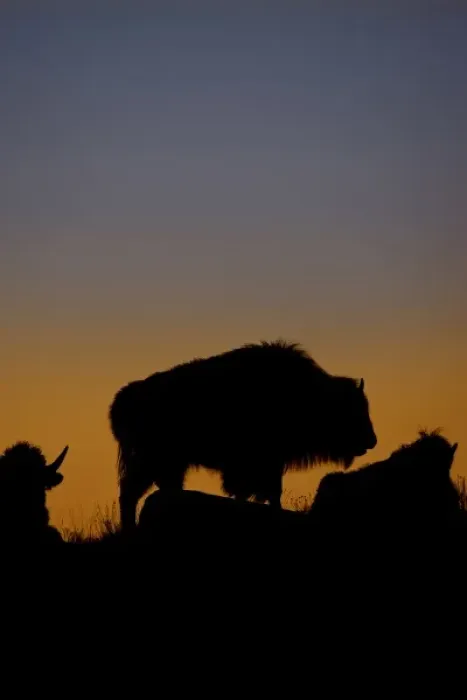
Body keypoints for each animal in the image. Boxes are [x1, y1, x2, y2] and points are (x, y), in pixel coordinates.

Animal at [110, 340, 377, 529]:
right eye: (354, 409)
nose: (372, 440)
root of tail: (128, 396)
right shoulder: (258, 463)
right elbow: (260, 491)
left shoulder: (270, 463)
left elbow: (264, 491)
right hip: (154, 460)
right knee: (131, 493)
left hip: (167, 464)